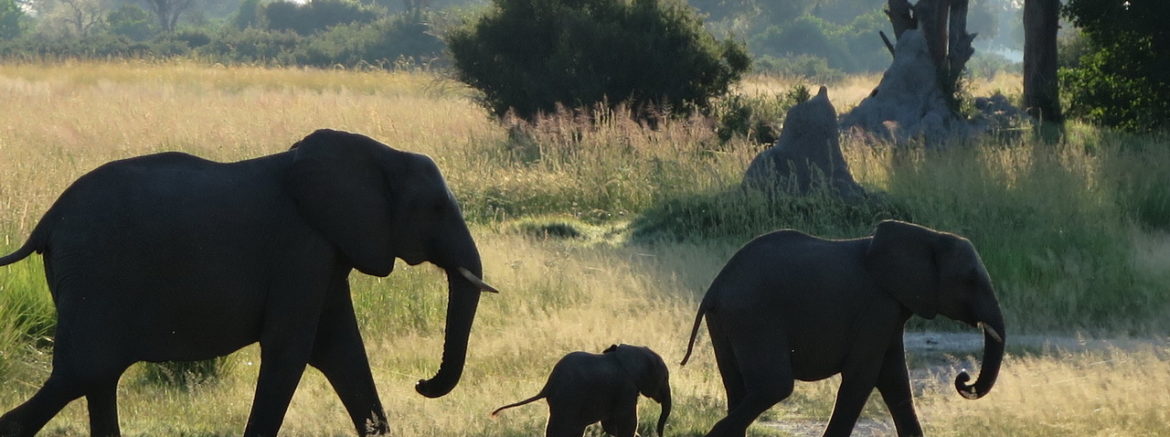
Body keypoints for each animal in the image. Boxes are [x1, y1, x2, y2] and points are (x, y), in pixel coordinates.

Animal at [0, 129, 498, 437]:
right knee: (85, 371)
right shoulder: (302, 248)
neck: (379, 153)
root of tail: (47, 221)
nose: (421, 383)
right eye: (436, 208)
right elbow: (293, 349)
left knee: (97, 377)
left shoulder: (326, 252)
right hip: (96, 274)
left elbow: (341, 352)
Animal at [493, 345, 678, 437]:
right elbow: (627, 422)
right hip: (568, 403)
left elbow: (610, 424)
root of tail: (547, 386)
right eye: (665, 378)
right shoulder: (626, 388)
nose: (661, 434)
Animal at [683, 222, 1001, 437]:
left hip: (728, 322)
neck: (927, 235)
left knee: (739, 388)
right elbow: (863, 377)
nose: (963, 378)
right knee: (774, 385)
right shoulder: (877, 307)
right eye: (970, 280)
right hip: (754, 318)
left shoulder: (891, 311)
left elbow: (895, 380)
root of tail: (715, 286)